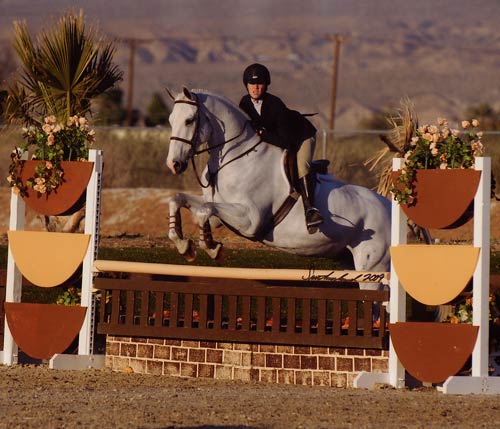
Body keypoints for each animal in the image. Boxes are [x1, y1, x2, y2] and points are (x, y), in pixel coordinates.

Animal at [166, 86, 392, 290]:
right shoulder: (218, 215)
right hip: (350, 260)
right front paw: (183, 245)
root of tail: (388, 206)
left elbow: (204, 211)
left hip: (372, 268)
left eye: (189, 120)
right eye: (170, 120)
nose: (174, 164)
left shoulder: (251, 220)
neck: (236, 159)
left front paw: (212, 248)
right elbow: (180, 200)